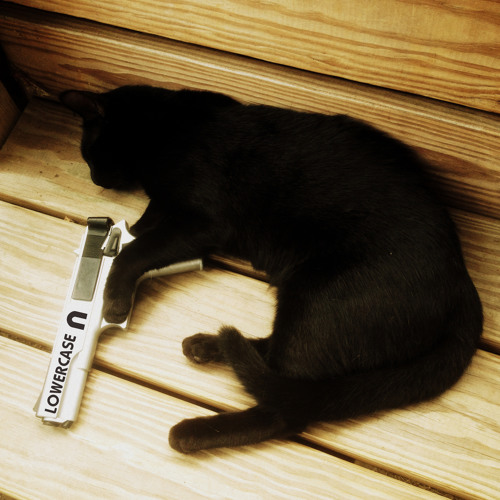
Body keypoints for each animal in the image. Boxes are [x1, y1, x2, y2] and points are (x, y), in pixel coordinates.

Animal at [60, 85, 482, 453]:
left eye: (88, 153)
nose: (96, 179)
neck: (169, 127)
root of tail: (464, 284)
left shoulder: (201, 221)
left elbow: (135, 251)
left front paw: (113, 297)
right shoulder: (171, 209)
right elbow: (144, 226)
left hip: (317, 296)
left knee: (289, 408)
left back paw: (192, 431)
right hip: (302, 302)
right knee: (282, 368)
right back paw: (210, 346)